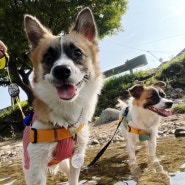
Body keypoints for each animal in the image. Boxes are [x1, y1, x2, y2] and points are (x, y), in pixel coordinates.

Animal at [23, 7, 102, 185]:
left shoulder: (75, 158)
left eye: (77, 53)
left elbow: (73, 178)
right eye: (47, 57)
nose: (61, 71)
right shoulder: (35, 169)